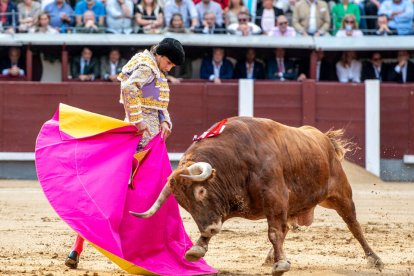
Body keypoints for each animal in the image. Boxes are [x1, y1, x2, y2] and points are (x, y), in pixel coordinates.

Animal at [130, 117, 384, 276]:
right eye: (184, 205)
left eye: (201, 191)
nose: (209, 228)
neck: (236, 158)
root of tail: (325, 139)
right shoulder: (237, 205)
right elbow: (275, 231)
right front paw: (197, 248)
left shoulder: (275, 197)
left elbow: (274, 232)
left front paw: (281, 265)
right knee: (288, 227)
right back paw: (271, 256)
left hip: (339, 194)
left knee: (353, 225)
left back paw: (374, 259)